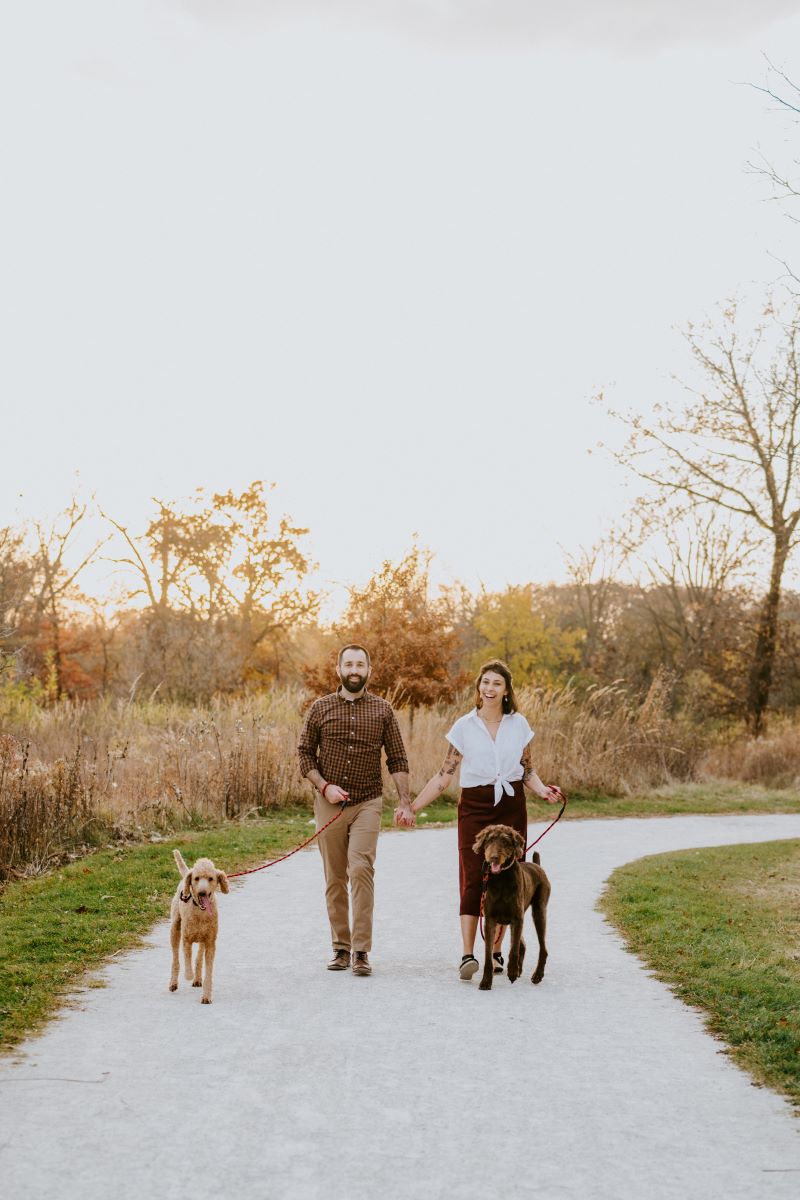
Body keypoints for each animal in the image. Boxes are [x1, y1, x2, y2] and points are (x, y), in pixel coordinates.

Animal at [169, 849, 227, 1008]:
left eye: (211, 879)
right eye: (196, 878)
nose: (202, 892)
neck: (200, 913)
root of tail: (186, 872)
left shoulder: (210, 943)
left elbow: (208, 971)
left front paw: (206, 996)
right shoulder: (186, 939)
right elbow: (186, 959)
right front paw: (188, 975)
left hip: (202, 940)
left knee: (198, 958)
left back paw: (197, 978)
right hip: (175, 929)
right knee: (176, 958)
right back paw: (173, 982)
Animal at [474, 825, 551, 993]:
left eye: (505, 841)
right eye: (489, 840)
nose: (494, 857)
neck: (501, 878)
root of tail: (538, 865)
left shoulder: (517, 918)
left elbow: (513, 950)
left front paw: (512, 972)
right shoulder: (490, 921)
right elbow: (488, 955)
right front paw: (486, 981)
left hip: (539, 911)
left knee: (542, 947)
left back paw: (537, 975)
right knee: (523, 944)